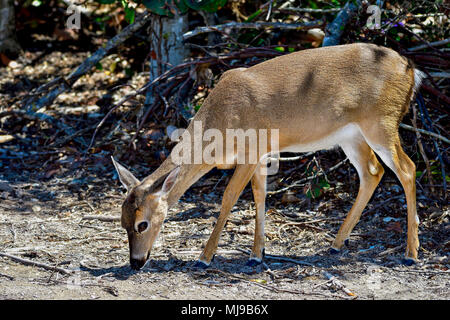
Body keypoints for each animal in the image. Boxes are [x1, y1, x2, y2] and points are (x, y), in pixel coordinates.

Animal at [110, 43, 424, 270]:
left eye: (142, 224)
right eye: (122, 222)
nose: (136, 263)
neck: (221, 123)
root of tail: (411, 69)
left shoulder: (250, 151)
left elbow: (229, 197)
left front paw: (205, 257)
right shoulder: (261, 154)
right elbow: (260, 195)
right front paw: (256, 255)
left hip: (381, 121)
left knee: (407, 168)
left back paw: (411, 253)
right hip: (351, 136)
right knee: (373, 172)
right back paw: (336, 243)